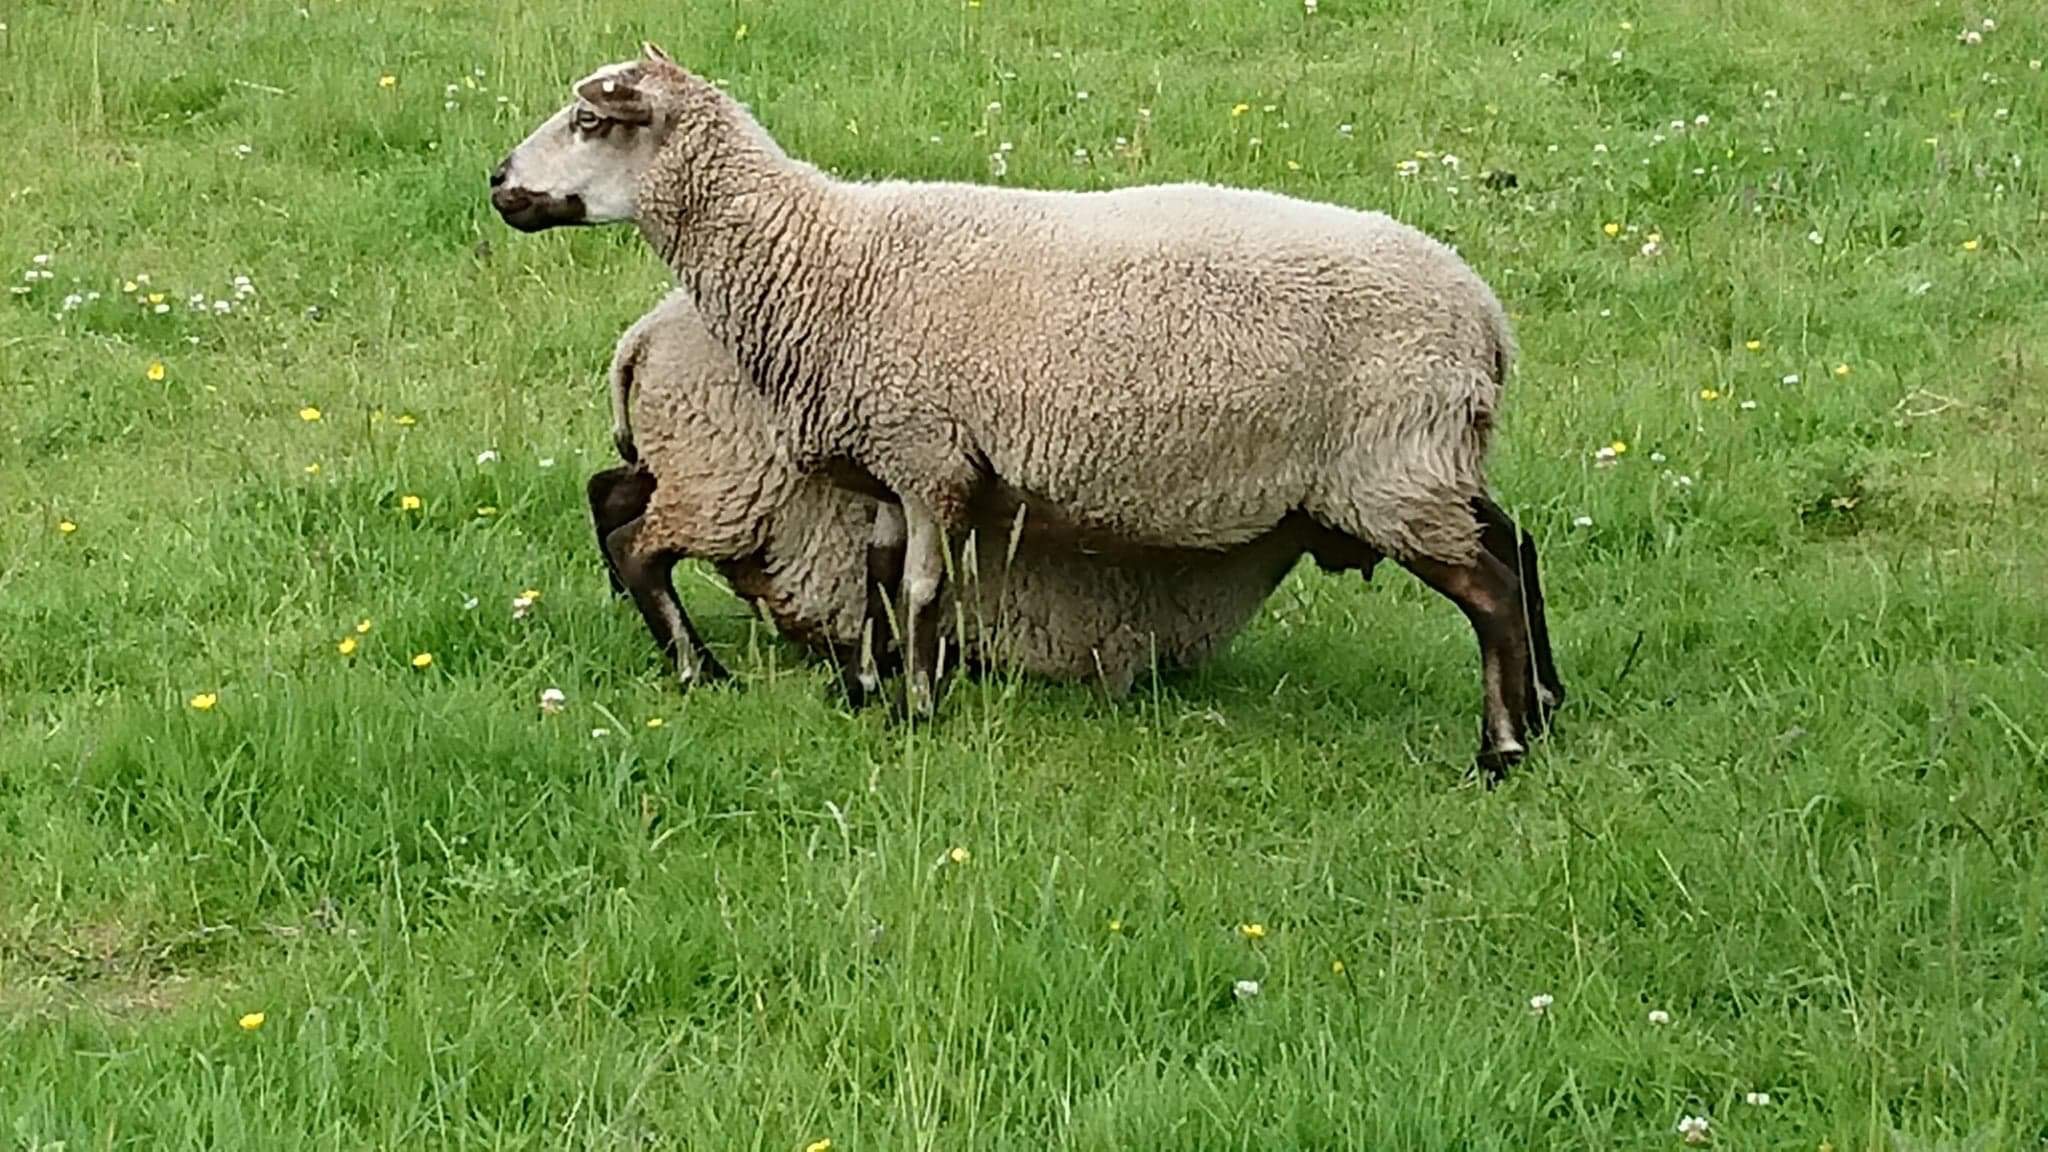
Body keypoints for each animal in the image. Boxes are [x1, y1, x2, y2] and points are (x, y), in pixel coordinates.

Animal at [577, 286, 1318, 701]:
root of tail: (642, 336)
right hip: (722, 475)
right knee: (638, 540)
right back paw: (699, 667)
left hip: (681, 459)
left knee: (608, 493)